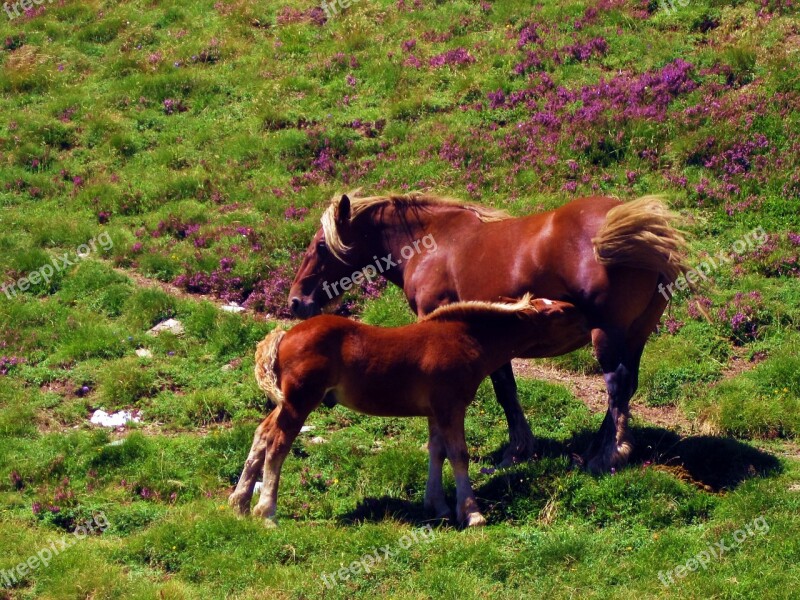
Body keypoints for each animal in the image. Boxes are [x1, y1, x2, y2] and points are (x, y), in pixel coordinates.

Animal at [230, 298, 588, 528]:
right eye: (562, 312)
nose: (591, 319)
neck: (467, 338)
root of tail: (285, 335)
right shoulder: (451, 406)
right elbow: (459, 455)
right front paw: (471, 514)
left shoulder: (435, 412)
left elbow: (437, 451)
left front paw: (439, 507)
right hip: (300, 401)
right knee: (278, 443)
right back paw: (266, 512)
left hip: (286, 401)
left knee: (261, 434)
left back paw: (239, 503)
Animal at [288, 192, 688, 474]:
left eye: (321, 245)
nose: (295, 302)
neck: (430, 243)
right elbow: (506, 391)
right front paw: (517, 451)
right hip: (635, 334)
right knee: (626, 385)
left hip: (606, 332)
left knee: (616, 384)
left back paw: (609, 457)